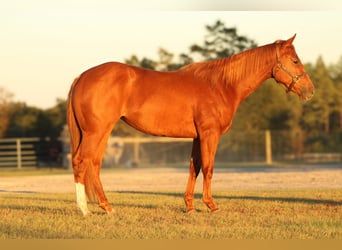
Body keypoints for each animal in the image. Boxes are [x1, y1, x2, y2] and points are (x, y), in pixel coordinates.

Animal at [67, 34, 316, 215]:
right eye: (295, 61)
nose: (310, 90)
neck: (221, 84)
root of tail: (82, 77)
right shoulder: (209, 134)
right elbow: (208, 168)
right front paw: (211, 205)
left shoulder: (197, 136)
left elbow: (193, 167)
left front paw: (189, 206)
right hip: (96, 132)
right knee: (81, 161)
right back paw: (85, 210)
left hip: (102, 132)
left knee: (94, 164)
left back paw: (106, 207)